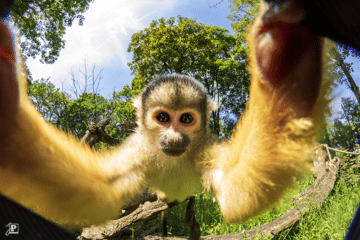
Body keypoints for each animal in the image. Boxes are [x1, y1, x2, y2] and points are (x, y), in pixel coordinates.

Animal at [0, 0, 332, 228]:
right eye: (162, 119)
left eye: (185, 119)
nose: (173, 136)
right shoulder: (139, 151)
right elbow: (100, 195)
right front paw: (10, 123)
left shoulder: (204, 148)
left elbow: (234, 194)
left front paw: (286, 61)